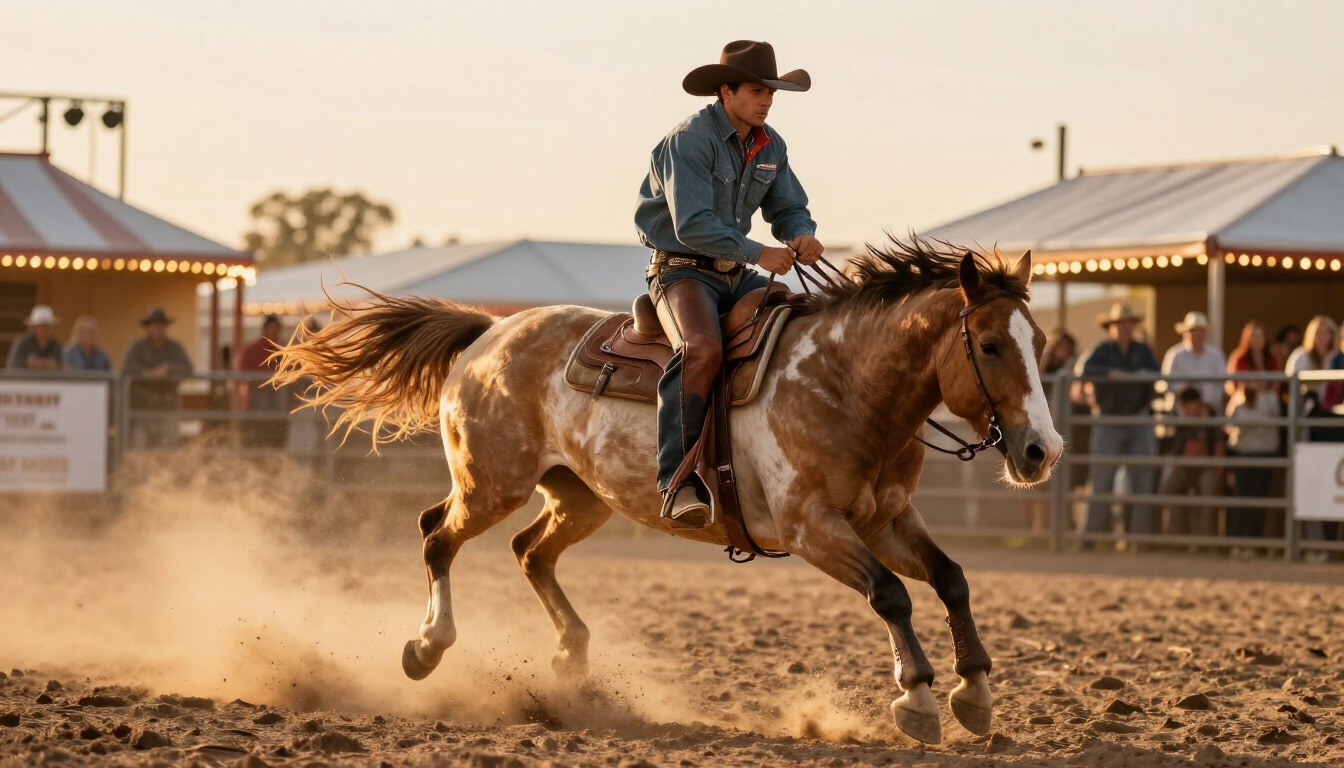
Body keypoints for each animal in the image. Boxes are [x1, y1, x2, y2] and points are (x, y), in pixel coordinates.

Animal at [272, 238, 1063, 745]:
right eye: (991, 345)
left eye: (1044, 343)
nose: (1042, 451)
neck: (845, 379)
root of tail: (488, 331)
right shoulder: (812, 528)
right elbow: (892, 596)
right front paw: (918, 697)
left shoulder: (886, 519)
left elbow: (952, 579)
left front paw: (975, 693)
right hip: (492, 483)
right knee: (437, 533)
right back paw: (428, 646)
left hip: (581, 496)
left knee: (530, 551)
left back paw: (572, 658)